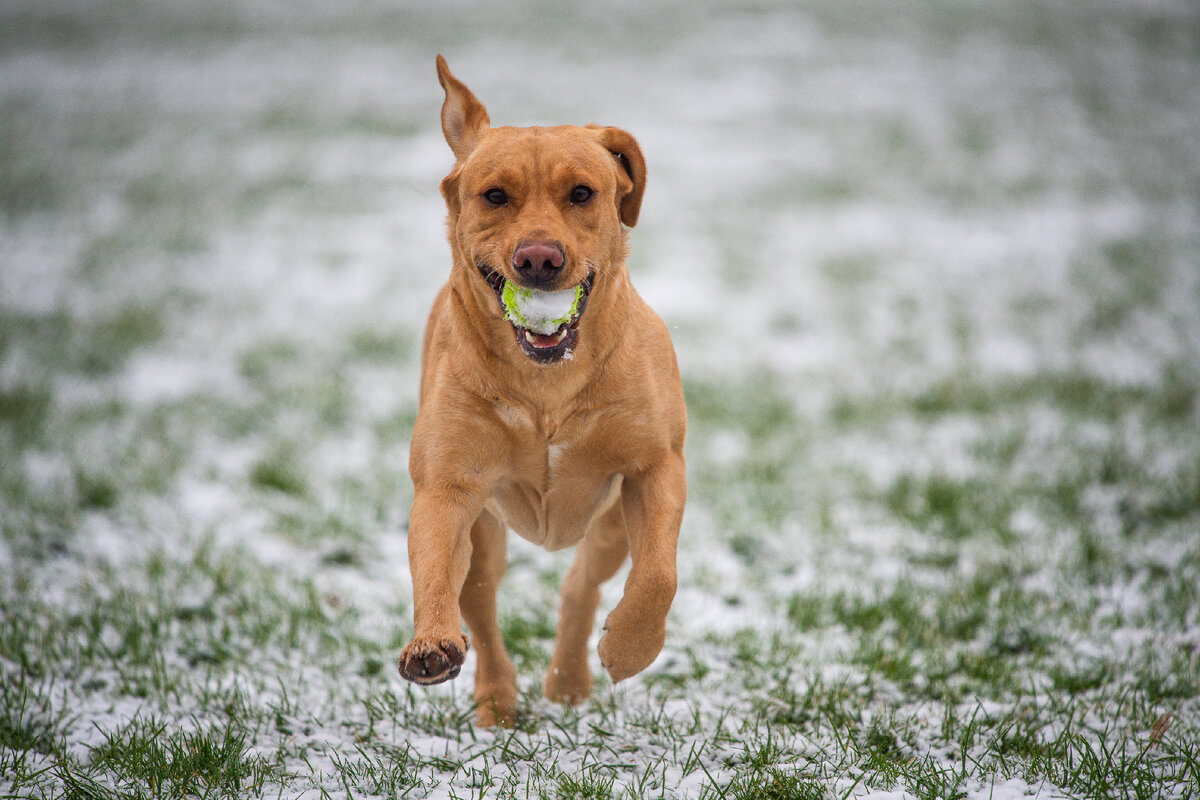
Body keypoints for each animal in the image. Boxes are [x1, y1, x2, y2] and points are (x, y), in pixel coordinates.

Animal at [396, 56, 686, 729]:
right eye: (494, 195)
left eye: (582, 193)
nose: (537, 258)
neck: (547, 383)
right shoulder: (448, 483)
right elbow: (432, 560)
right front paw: (430, 643)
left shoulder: (656, 465)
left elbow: (658, 574)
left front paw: (630, 648)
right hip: (486, 534)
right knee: (479, 598)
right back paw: (497, 697)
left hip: (609, 524)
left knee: (583, 583)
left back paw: (572, 678)